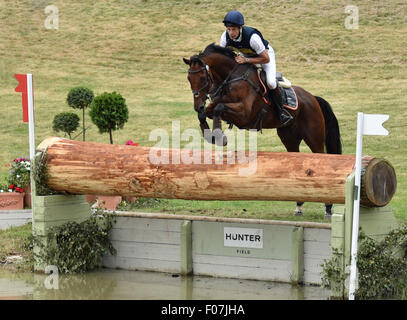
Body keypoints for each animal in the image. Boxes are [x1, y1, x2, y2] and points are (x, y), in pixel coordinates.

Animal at [182, 43, 342, 218]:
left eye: (203, 77)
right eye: (189, 79)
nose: (197, 105)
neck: (230, 77)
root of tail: (313, 98)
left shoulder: (244, 113)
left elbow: (219, 107)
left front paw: (218, 135)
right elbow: (208, 112)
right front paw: (210, 133)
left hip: (313, 136)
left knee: (321, 156)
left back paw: (328, 207)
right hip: (289, 138)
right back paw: (299, 205)